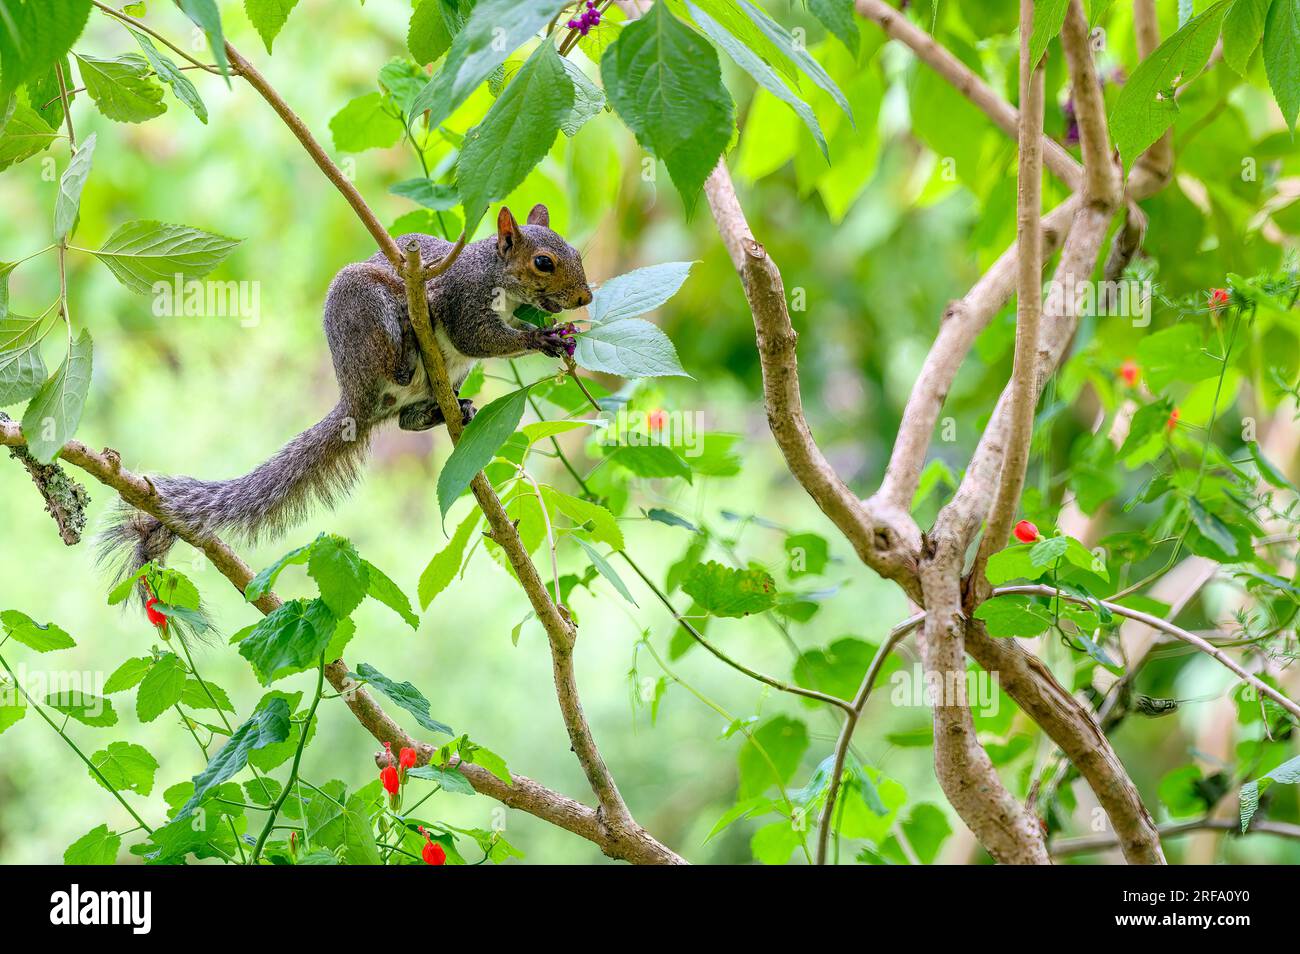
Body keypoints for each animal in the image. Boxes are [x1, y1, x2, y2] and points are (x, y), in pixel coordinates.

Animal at [100, 204, 592, 582]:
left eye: (577, 253)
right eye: (543, 262)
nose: (585, 297)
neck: (495, 275)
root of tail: (355, 397)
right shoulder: (461, 299)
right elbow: (477, 337)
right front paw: (539, 338)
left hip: (443, 377)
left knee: (407, 420)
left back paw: (454, 410)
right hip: (364, 309)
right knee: (396, 360)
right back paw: (407, 348)